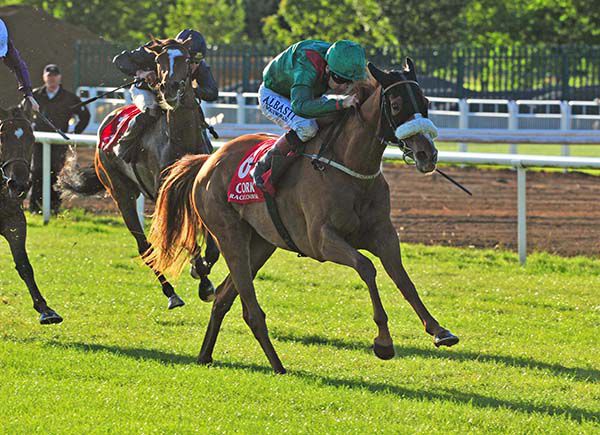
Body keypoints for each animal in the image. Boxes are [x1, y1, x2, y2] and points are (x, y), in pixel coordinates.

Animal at [0, 102, 61, 324]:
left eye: (32, 138)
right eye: (2, 136)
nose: (18, 184)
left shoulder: (14, 221)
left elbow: (24, 265)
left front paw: (46, 309)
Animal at [62, 38, 218, 310]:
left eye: (187, 60)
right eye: (158, 60)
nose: (169, 88)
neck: (181, 139)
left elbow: (211, 247)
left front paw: (202, 270)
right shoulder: (165, 197)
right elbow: (187, 241)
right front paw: (203, 282)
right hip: (121, 194)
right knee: (144, 247)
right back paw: (171, 293)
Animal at [148, 60, 458, 374]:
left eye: (425, 102)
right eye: (395, 105)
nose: (427, 154)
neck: (350, 167)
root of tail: (207, 161)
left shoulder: (384, 234)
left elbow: (403, 278)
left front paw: (439, 331)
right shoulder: (320, 240)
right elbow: (367, 267)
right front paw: (383, 341)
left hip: (261, 244)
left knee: (223, 297)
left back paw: (206, 355)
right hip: (230, 236)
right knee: (251, 310)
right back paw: (277, 365)